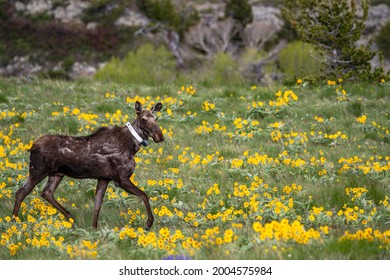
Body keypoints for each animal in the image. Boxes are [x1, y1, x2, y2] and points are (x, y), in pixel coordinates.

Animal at [12, 100, 164, 230]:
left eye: (156, 119)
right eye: (144, 119)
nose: (160, 136)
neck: (133, 145)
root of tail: (31, 147)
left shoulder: (104, 178)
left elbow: (97, 204)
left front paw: (94, 229)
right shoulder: (121, 178)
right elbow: (144, 195)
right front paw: (149, 223)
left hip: (56, 174)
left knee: (46, 192)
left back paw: (71, 218)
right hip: (37, 170)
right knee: (21, 192)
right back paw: (13, 223)